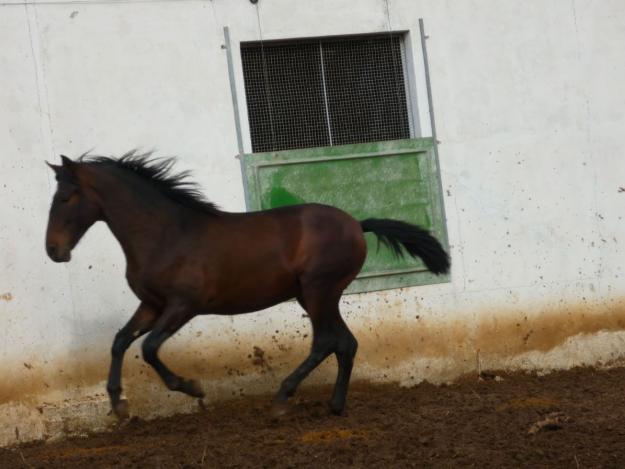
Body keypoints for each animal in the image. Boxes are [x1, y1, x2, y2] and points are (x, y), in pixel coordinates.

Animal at [45, 152, 448, 418]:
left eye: (64, 197)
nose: (53, 251)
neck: (166, 234)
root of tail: (357, 224)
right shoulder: (151, 305)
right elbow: (120, 341)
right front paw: (119, 404)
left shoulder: (183, 306)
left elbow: (148, 348)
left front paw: (192, 388)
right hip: (315, 295)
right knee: (345, 343)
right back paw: (334, 406)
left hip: (319, 291)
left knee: (325, 342)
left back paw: (283, 399)